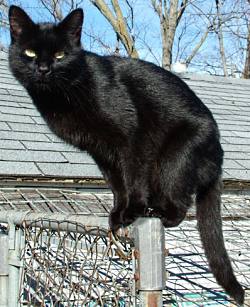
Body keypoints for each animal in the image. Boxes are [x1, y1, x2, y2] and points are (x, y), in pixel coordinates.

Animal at [8, 5, 244, 306]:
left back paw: (158, 212)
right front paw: (118, 214)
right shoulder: (102, 152)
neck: (63, 96)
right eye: (30, 53)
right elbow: (117, 184)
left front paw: (133, 211)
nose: (43, 68)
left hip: (173, 158)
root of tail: (218, 156)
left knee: (181, 201)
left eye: (60, 55)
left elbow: (133, 178)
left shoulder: (132, 138)